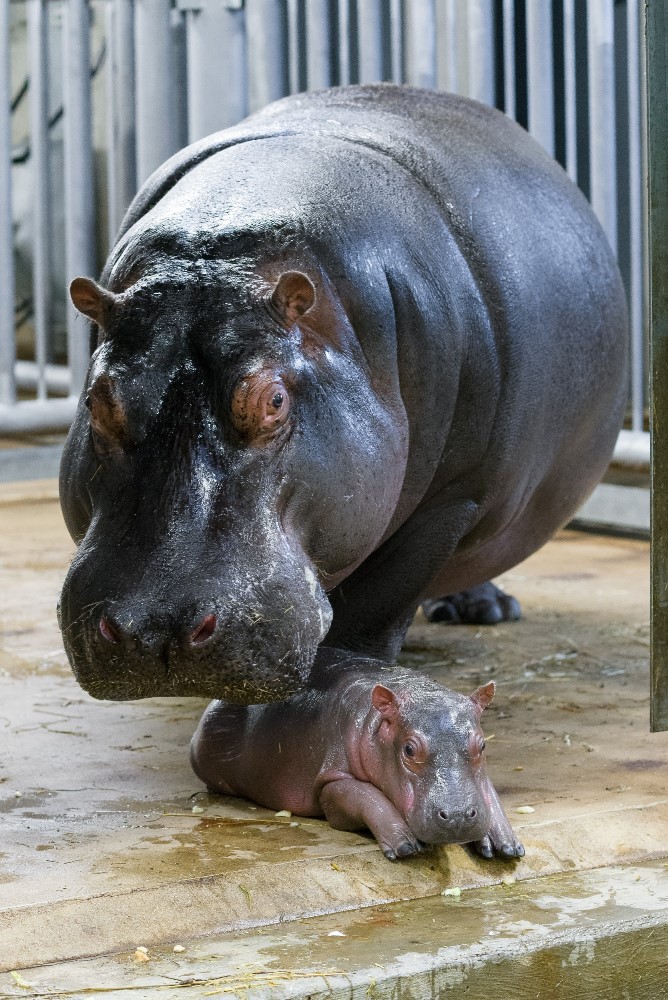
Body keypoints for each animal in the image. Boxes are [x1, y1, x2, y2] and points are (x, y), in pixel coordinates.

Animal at [57, 86, 628, 704]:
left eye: (274, 401)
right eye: (97, 400)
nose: (157, 627)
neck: (221, 251)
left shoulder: (455, 496)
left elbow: (376, 608)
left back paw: (485, 610)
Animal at [190, 648, 524, 860]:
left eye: (482, 745)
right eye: (409, 749)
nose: (457, 816)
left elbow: (488, 791)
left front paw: (505, 844)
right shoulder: (331, 781)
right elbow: (366, 796)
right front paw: (405, 845)